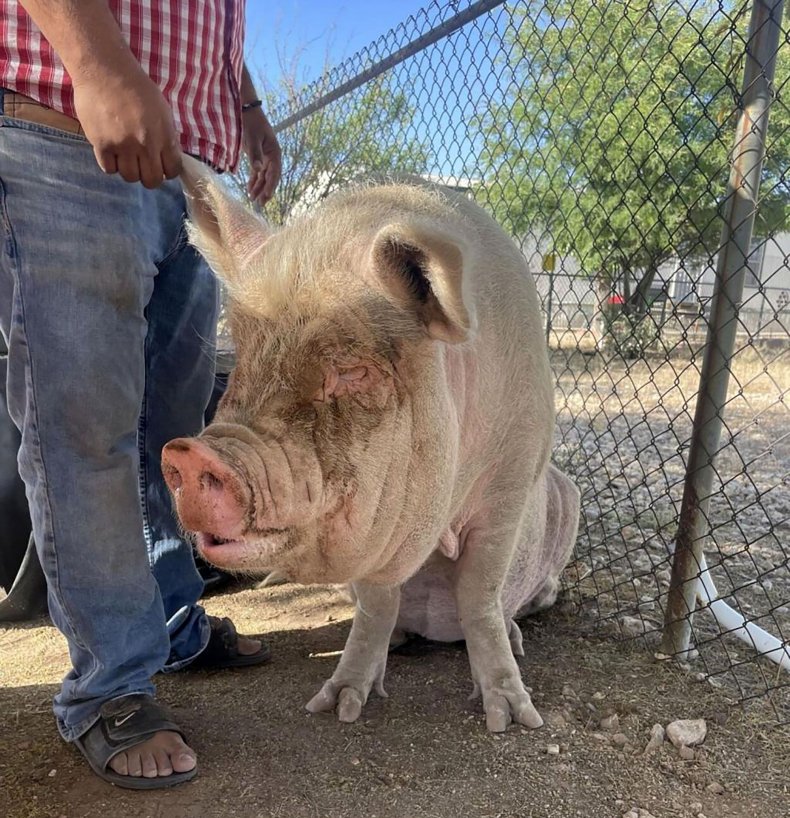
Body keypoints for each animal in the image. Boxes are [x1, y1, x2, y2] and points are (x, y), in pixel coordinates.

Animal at [162, 157, 580, 732]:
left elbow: (480, 594)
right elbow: (378, 603)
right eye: (244, 353)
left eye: (353, 369)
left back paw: (519, 634)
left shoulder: (514, 474)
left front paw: (513, 719)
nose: (188, 453)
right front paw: (336, 706)